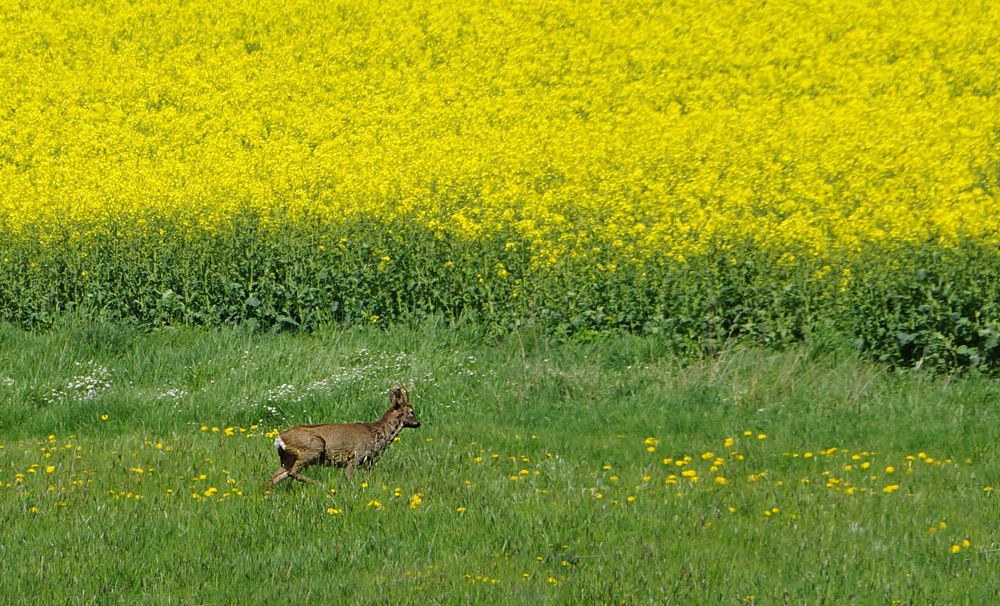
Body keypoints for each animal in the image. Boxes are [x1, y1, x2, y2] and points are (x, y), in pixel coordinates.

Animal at [264, 388, 420, 492]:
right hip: (311, 448)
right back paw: (321, 485)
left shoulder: (369, 462)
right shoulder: (356, 456)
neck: (377, 434)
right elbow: (349, 477)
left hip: (287, 458)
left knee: (273, 478)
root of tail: (279, 438)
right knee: (292, 472)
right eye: (412, 411)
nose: (418, 423)